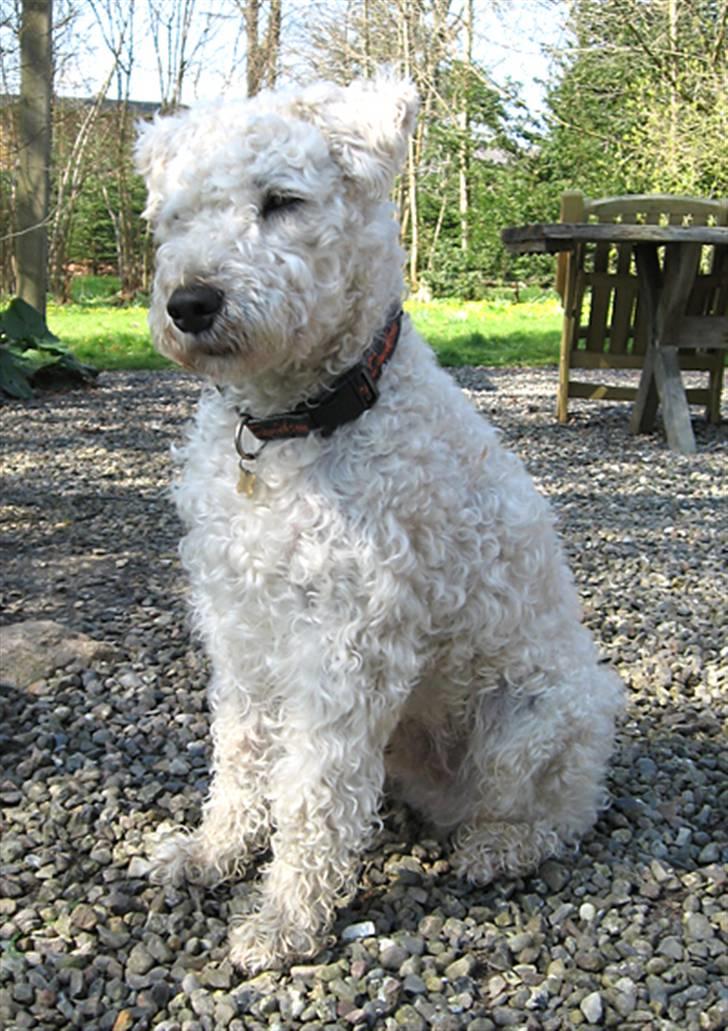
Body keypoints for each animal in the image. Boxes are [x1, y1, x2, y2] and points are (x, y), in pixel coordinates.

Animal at [135, 74, 618, 973]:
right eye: (179, 213)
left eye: (282, 200)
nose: (190, 303)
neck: (293, 426)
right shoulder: (240, 630)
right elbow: (243, 759)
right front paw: (212, 852)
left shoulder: (345, 646)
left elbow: (314, 798)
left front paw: (285, 921)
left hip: (537, 718)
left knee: (561, 814)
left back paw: (497, 847)